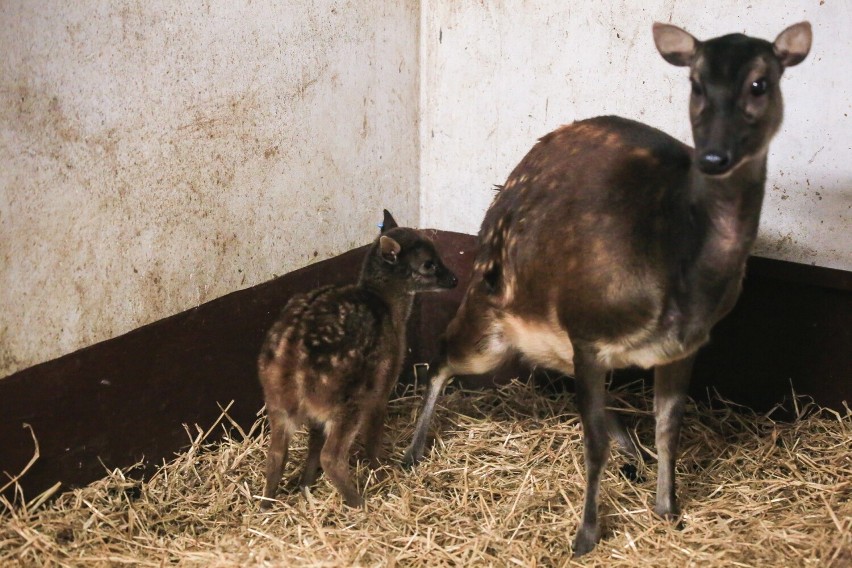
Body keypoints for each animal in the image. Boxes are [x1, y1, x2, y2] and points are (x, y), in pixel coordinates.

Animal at [402, 21, 808, 556]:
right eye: (696, 83)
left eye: (760, 83)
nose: (714, 156)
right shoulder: (588, 331)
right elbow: (591, 441)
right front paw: (586, 535)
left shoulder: (684, 346)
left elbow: (668, 426)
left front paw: (668, 509)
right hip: (490, 312)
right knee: (443, 354)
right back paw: (411, 450)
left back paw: (632, 454)